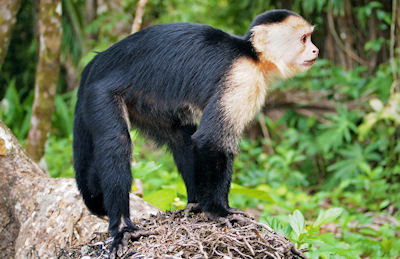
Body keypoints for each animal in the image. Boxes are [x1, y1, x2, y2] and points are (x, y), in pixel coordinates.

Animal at [72, 9, 318, 252]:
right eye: (304, 39)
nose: (316, 49)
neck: (251, 56)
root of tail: (97, 61)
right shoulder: (242, 78)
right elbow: (211, 141)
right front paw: (217, 211)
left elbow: (209, 142)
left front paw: (218, 207)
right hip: (100, 93)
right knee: (117, 144)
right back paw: (122, 226)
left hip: (146, 101)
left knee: (181, 138)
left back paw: (194, 203)